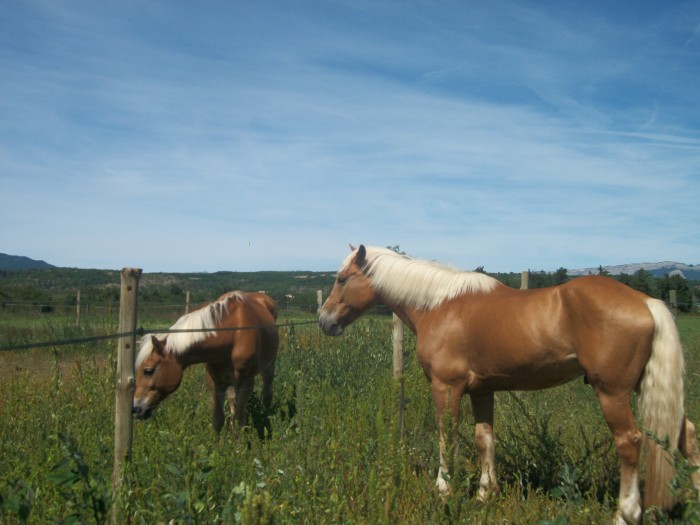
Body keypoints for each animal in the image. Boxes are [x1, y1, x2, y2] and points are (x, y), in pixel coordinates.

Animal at [133, 288, 278, 432]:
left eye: (148, 371)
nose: (135, 408)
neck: (232, 335)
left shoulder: (246, 382)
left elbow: (239, 420)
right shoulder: (214, 381)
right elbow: (218, 419)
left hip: (269, 367)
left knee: (267, 392)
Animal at [318, 246, 700, 524]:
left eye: (342, 279)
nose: (324, 321)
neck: (440, 305)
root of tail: (647, 302)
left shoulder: (446, 387)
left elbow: (446, 435)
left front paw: (444, 489)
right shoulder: (482, 390)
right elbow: (484, 439)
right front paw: (485, 493)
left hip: (613, 393)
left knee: (630, 442)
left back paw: (626, 513)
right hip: (645, 388)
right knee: (685, 435)